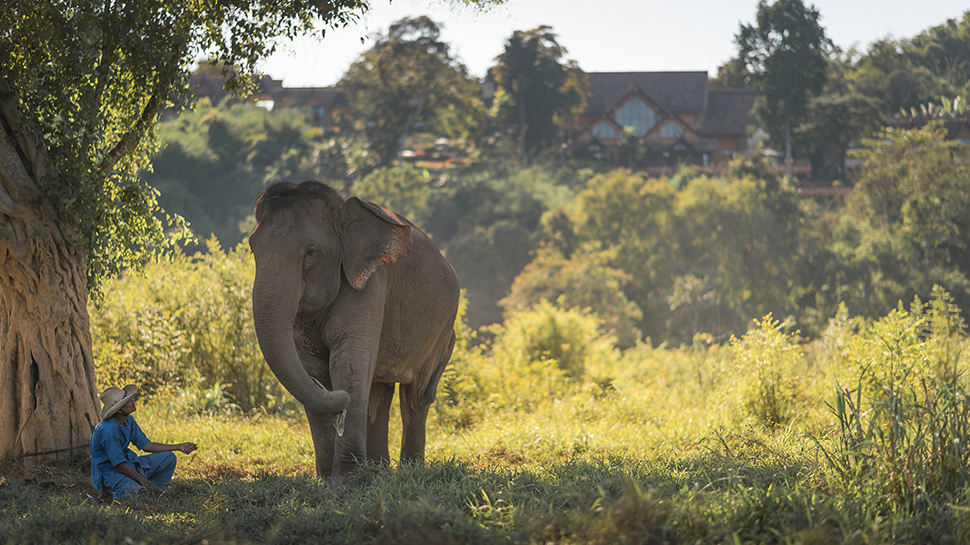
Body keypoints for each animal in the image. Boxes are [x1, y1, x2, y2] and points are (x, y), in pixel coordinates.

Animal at [248, 181, 460, 479]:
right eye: (252, 249)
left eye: (310, 252)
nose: (339, 398)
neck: (343, 212)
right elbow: (310, 367)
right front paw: (327, 478)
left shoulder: (371, 286)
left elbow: (347, 363)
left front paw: (349, 480)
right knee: (379, 392)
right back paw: (379, 469)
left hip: (443, 331)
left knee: (416, 396)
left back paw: (410, 469)